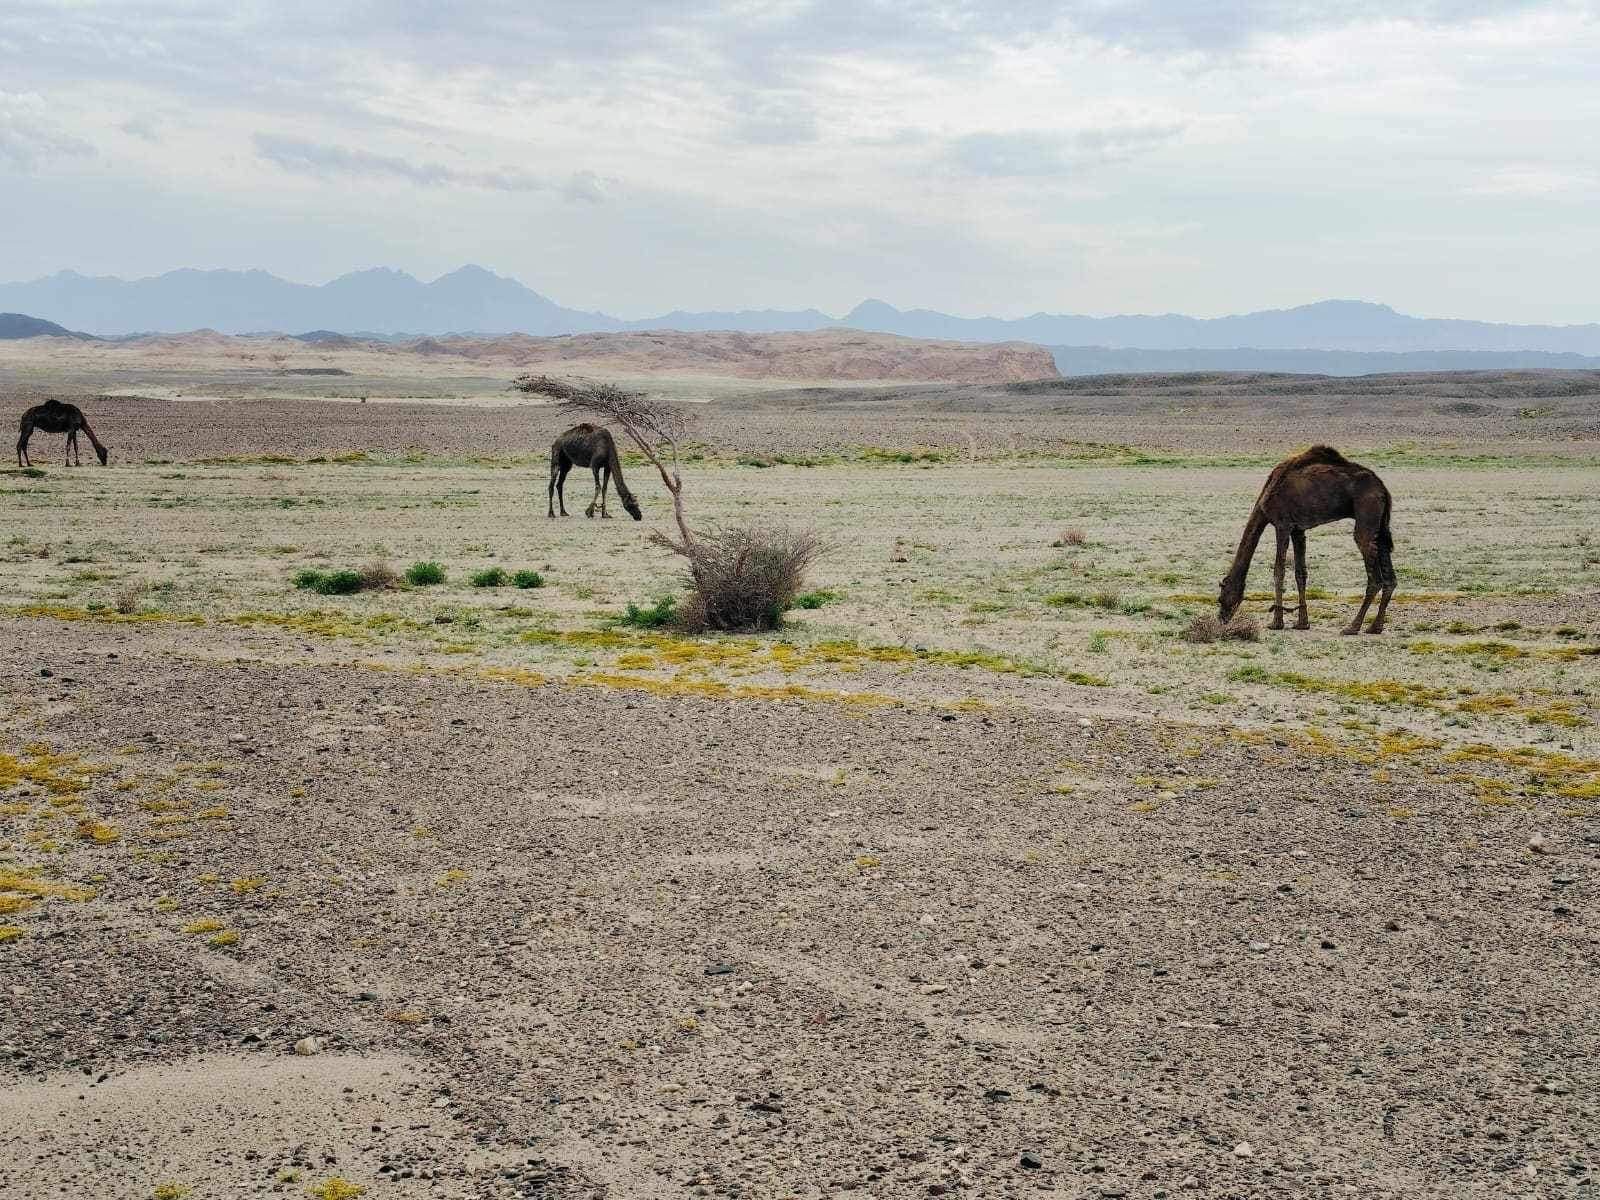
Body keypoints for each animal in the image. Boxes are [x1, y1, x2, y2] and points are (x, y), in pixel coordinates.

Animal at [1216, 448, 1395, 640]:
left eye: (1220, 598)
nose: (1222, 618)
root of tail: (1383, 490)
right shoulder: (1298, 530)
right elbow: (1300, 572)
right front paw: (1302, 623)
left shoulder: (1282, 524)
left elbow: (1279, 571)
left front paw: (1276, 623)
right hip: (1381, 525)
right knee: (1390, 577)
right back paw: (1375, 627)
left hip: (1366, 512)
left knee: (1374, 575)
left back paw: (1352, 627)